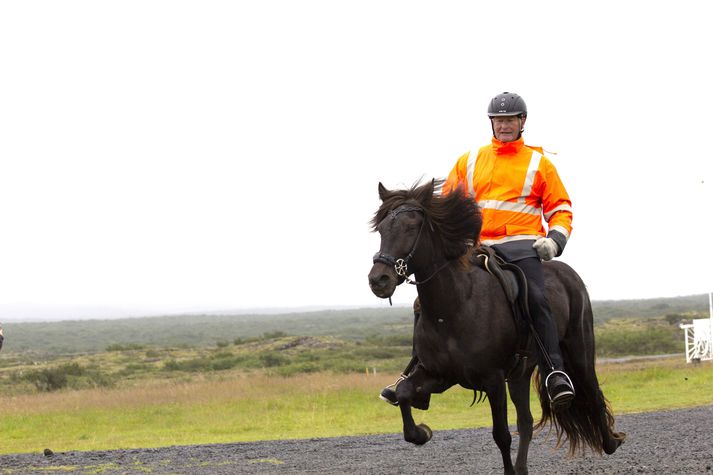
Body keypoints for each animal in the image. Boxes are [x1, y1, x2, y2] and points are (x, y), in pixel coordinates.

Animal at [368, 181, 624, 475]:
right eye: (382, 229)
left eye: (411, 227)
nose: (378, 280)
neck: (453, 307)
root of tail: (567, 273)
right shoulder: (439, 375)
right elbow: (403, 394)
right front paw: (422, 432)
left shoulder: (492, 381)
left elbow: (501, 435)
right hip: (520, 373)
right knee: (526, 421)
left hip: (579, 350)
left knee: (591, 392)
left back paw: (611, 441)